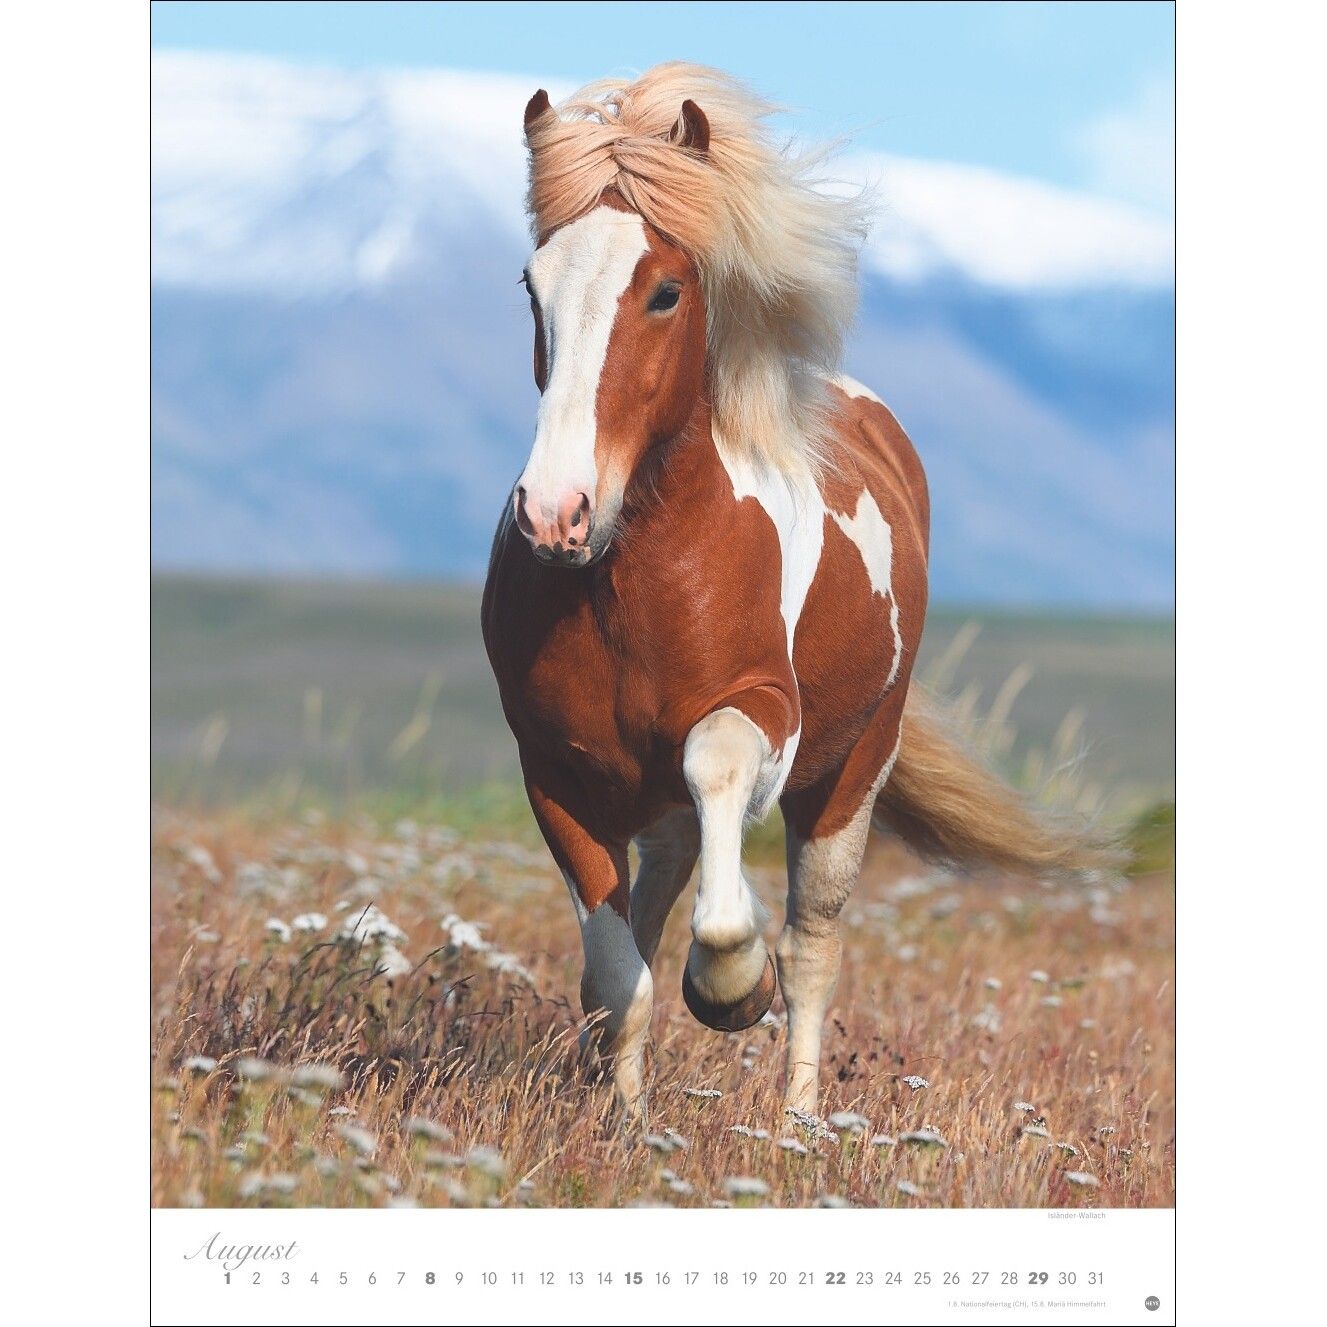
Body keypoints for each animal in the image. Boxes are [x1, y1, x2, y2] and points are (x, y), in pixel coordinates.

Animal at [482, 63, 1101, 1122]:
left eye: (665, 290)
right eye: (531, 285)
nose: (555, 513)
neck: (630, 583)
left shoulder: (765, 712)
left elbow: (721, 778)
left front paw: (732, 984)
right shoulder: (555, 771)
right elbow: (615, 971)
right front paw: (622, 1114)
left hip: (852, 776)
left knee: (813, 943)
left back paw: (800, 1117)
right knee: (655, 906)